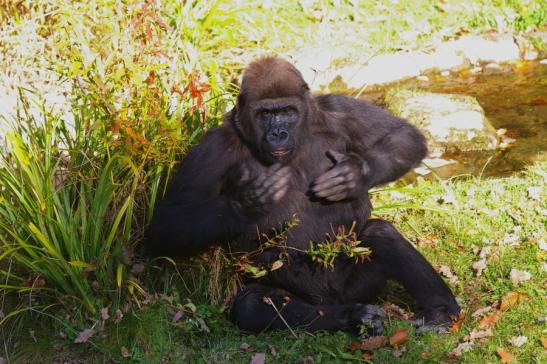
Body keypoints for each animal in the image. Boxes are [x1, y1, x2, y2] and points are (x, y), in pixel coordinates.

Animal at [143, 55, 460, 334]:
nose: (278, 133)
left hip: (357, 286)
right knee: (254, 305)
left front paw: (354, 175)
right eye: (265, 114)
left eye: (286, 112)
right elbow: (170, 222)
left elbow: (402, 135)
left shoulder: (334, 108)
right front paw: (248, 201)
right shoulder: (214, 147)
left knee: (380, 235)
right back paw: (353, 317)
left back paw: (440, 312)